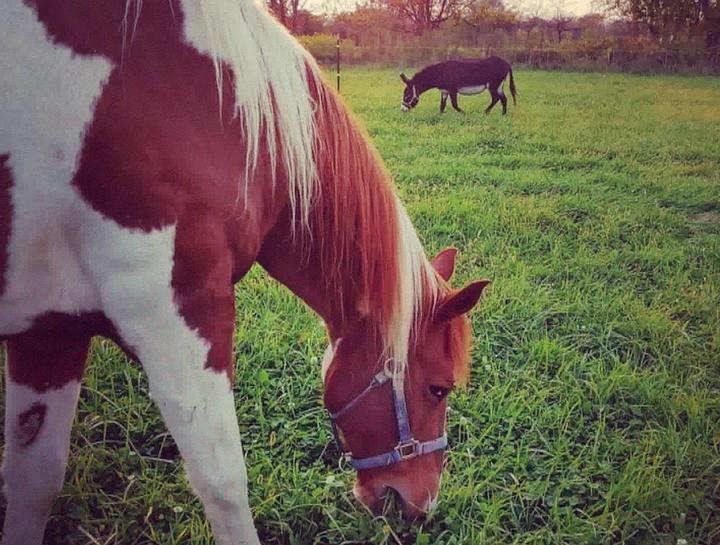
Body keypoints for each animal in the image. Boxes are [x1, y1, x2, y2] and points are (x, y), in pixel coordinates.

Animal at [0, 1, 490, 544]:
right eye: (439, 389)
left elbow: (35, 482)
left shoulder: (51, 331)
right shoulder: (179, 316)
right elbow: (223, 480)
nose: (422, 503)